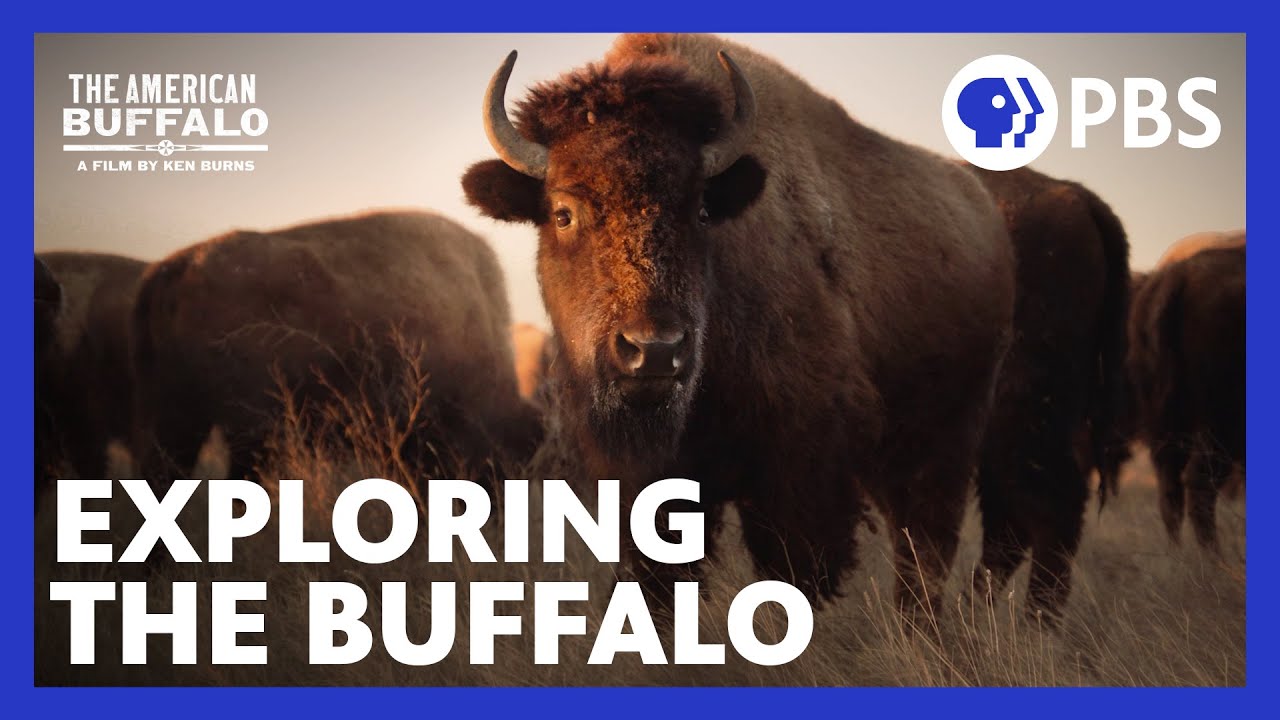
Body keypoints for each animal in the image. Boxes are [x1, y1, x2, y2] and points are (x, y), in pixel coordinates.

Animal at [462, 33, 1015, 608]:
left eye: (702, 210)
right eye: (564, 213)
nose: (655, 350)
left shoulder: (800, 470)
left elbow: (797, 571)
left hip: (946, 440)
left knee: (925, 545)